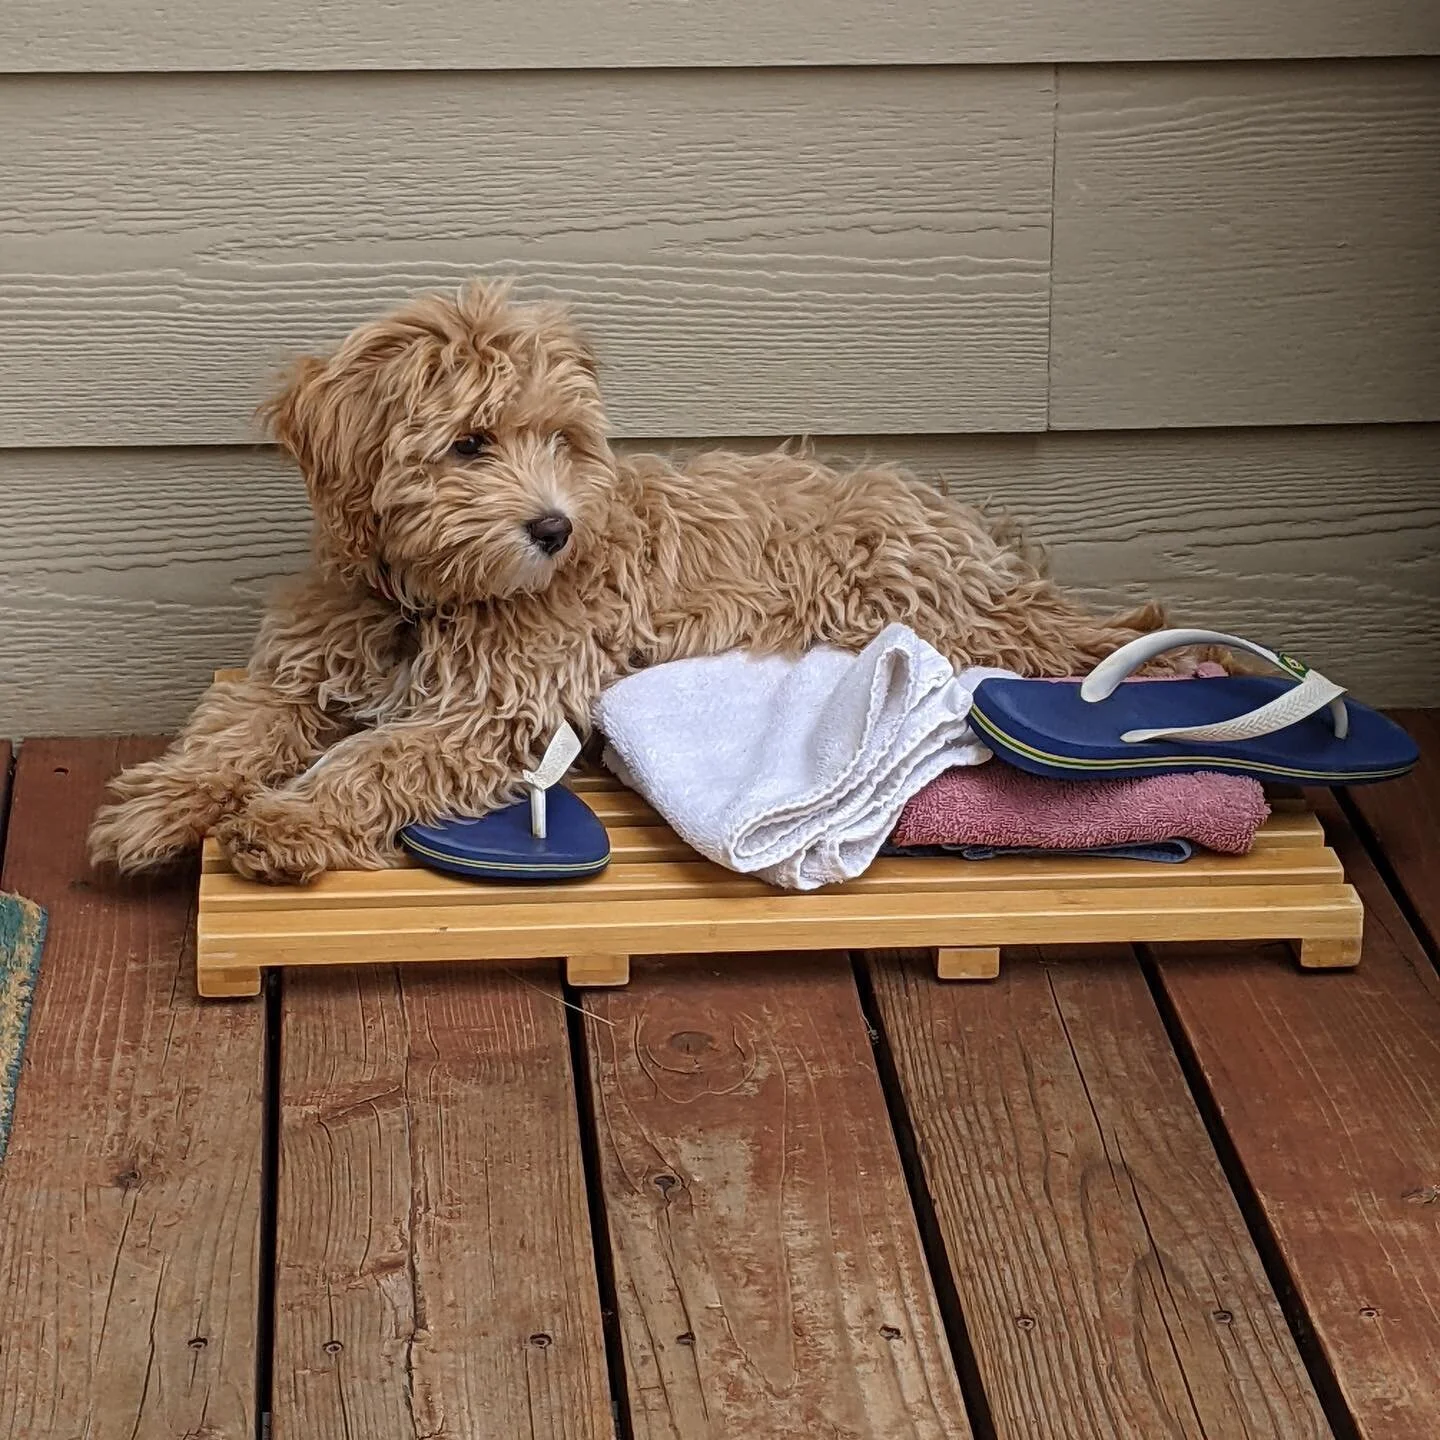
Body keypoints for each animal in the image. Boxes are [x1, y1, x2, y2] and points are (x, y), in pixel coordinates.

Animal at [88, 282, 1164, 883]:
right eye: (470, 443)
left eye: (562, 440)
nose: (554, 528)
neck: (423, 600)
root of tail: (954, 516)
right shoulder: (295, 672)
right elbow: (229, 731)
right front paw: (158, 811)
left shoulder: (494, 708)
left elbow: (376, 760)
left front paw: (288, 821)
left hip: (944, 610)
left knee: (1058, 641)